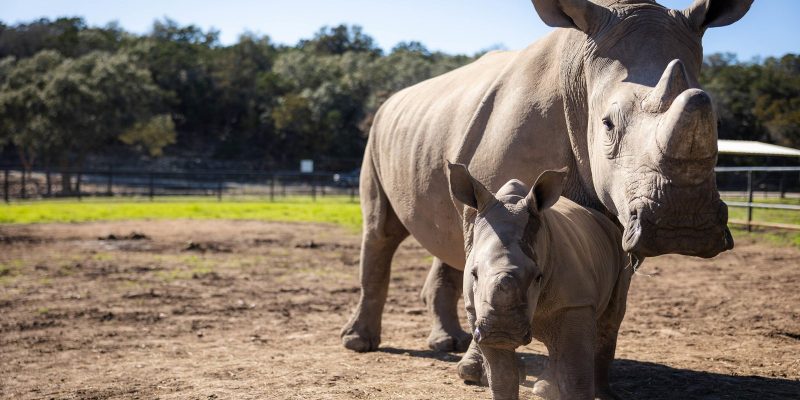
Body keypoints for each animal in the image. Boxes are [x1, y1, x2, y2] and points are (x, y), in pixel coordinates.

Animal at [449, 163, 632, 400]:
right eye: (474, 274)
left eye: (538, 277)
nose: (502, 330)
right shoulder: (476, 310)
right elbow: (501, 377)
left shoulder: (576, 303)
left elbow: (575, 374)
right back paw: (546, 389)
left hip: (618, 247)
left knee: (609, 322)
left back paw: (604, 394)